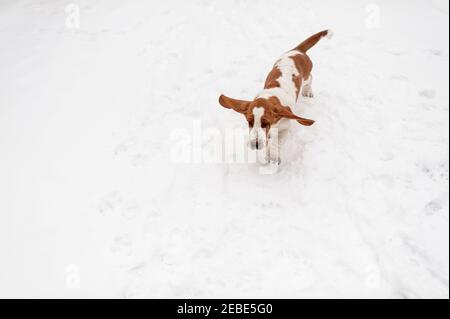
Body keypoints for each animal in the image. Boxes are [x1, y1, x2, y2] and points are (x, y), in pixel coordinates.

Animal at [220, 29, 332, 165]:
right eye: (249, 121)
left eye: (266, 122)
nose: (255, 145)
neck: (271, 96)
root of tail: (298, 50)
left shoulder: (284, 127)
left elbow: (275, 142)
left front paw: (274, 156)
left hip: (306, 77)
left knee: (310, 78)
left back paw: (308, 91)